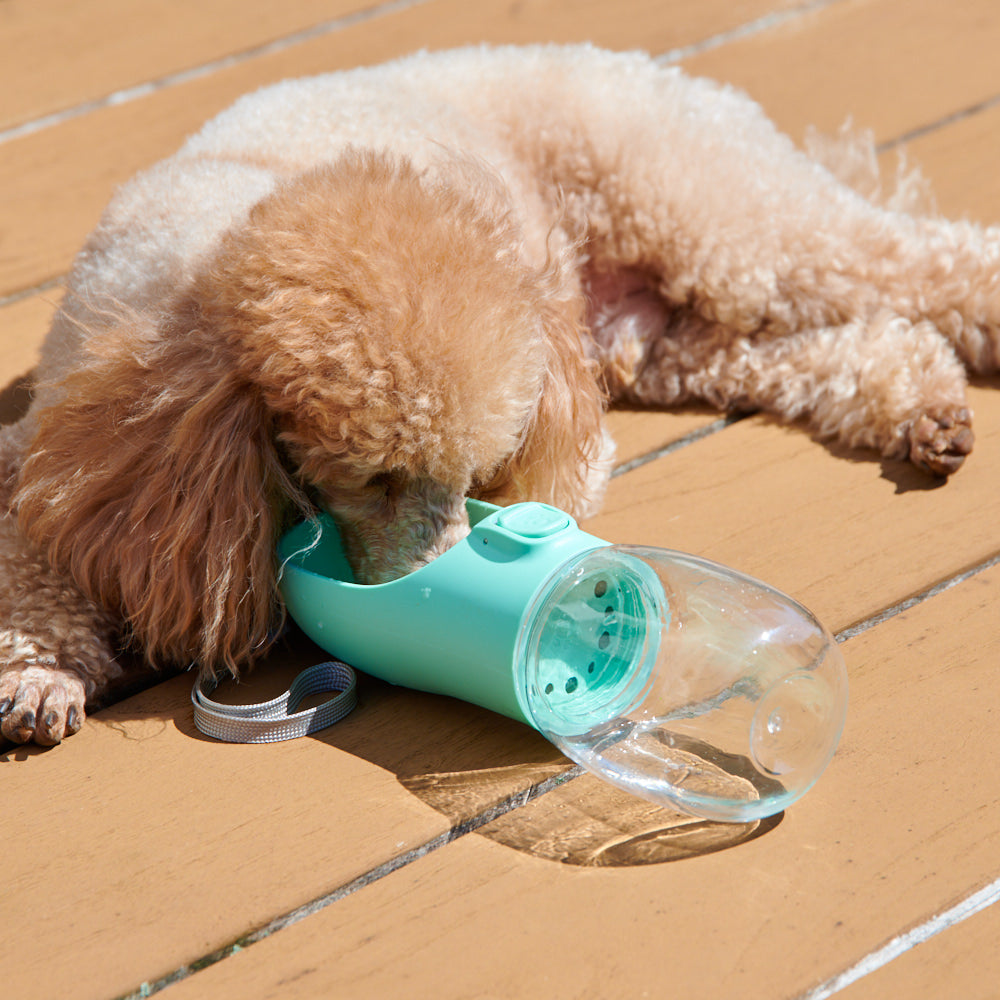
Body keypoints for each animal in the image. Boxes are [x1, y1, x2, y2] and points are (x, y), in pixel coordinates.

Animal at [0, 45, 988, 752]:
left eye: (479, 474)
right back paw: (922, 407)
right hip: (684, 341)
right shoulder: (52, 451)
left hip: (724, 222)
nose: (433, 583)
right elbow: (26, 557)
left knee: (919, 260)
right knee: (830, 347)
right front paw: (39, 672)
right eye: (371, 478)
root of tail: (646, 67)